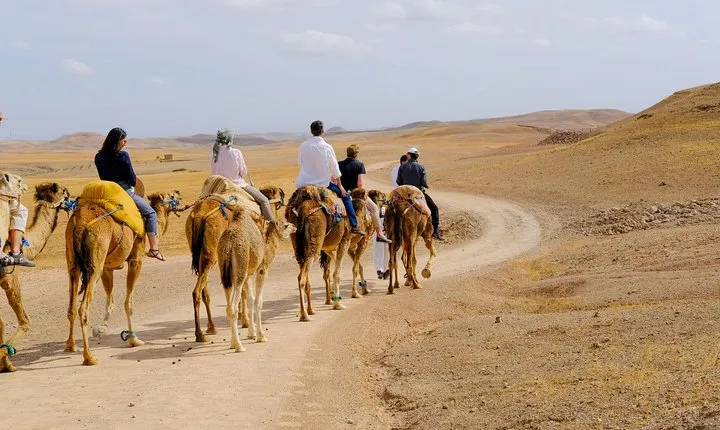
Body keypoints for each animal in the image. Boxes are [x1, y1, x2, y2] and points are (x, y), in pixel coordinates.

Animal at [0, 181, 70, 372]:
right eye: (65, 192)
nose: (74, 199)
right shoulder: (9, 278)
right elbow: (24, 321)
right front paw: (6, 361)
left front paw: (6, 363)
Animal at [64, 185, 181, 366]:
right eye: (171, 195)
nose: (178, 192)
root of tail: (80, 223)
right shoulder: (135, 260)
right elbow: (128, 302)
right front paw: (134, 340)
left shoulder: (107, 267)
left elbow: (110, 300)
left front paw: (101, 329)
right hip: (95, 263)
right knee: (83, 308)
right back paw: (89, 357)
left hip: (73, 262)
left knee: (71, 307)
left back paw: (70, 346)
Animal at [186, 180, 285, 343]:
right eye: (279, 193)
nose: (282, 201)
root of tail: (200, 216)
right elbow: (244, 291)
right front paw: (245, 321)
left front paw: (241, 317)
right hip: (212, 254)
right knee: (197, 291)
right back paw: (200, 334)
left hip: (201, 254)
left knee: (203, 289)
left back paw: (211, 328)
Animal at [218, 210, 295, 352]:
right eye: (285, 225)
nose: (294, 226)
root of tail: (229, 244)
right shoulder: (262, 269)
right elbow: (258, 301)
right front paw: (261, 336)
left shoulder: (248, 274)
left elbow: (250, 299)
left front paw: (251, 333)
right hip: (240, 268)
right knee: (233, 307)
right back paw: (239, 346)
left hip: (225, 273)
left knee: (228, 307)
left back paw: (233, 343)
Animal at [285, 185, 352, 322]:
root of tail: (302, 210)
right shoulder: (345, 240)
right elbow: (337, 273)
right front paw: (338, 304)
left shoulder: (326, 247)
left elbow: (331, 269)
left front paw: (332, 297)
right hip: (315, 242)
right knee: (301, 278)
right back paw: (304, 315)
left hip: (297, 244)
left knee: (305, 274)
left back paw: (310, 310)